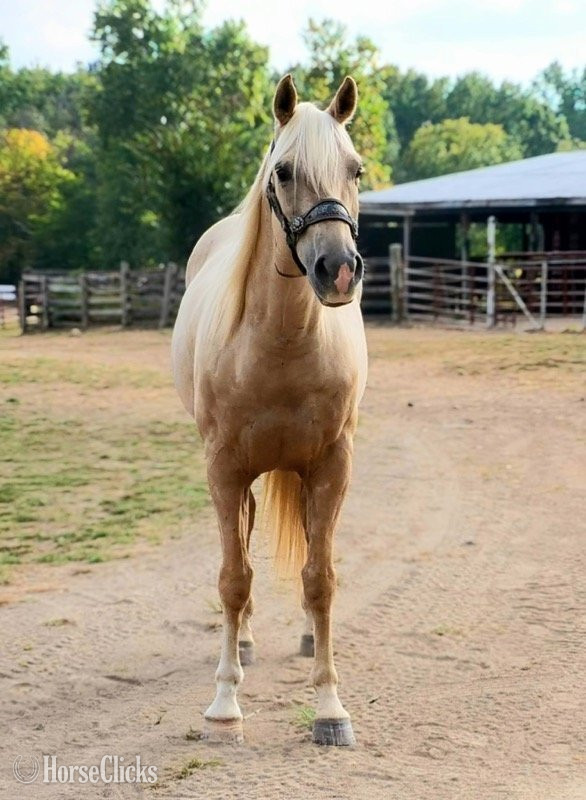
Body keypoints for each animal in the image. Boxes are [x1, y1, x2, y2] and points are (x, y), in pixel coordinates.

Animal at [172, 74, 367, 747]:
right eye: (283, 171)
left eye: (356, 169)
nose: (338, 271)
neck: (280, 345)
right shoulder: (224, 470)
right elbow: (234, 578)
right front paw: (225, 701)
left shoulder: (331, 465)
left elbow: (321, 578)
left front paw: (330, 706)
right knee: (247, 543)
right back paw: (248, 644)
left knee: (309, 548)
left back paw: (307, 638)